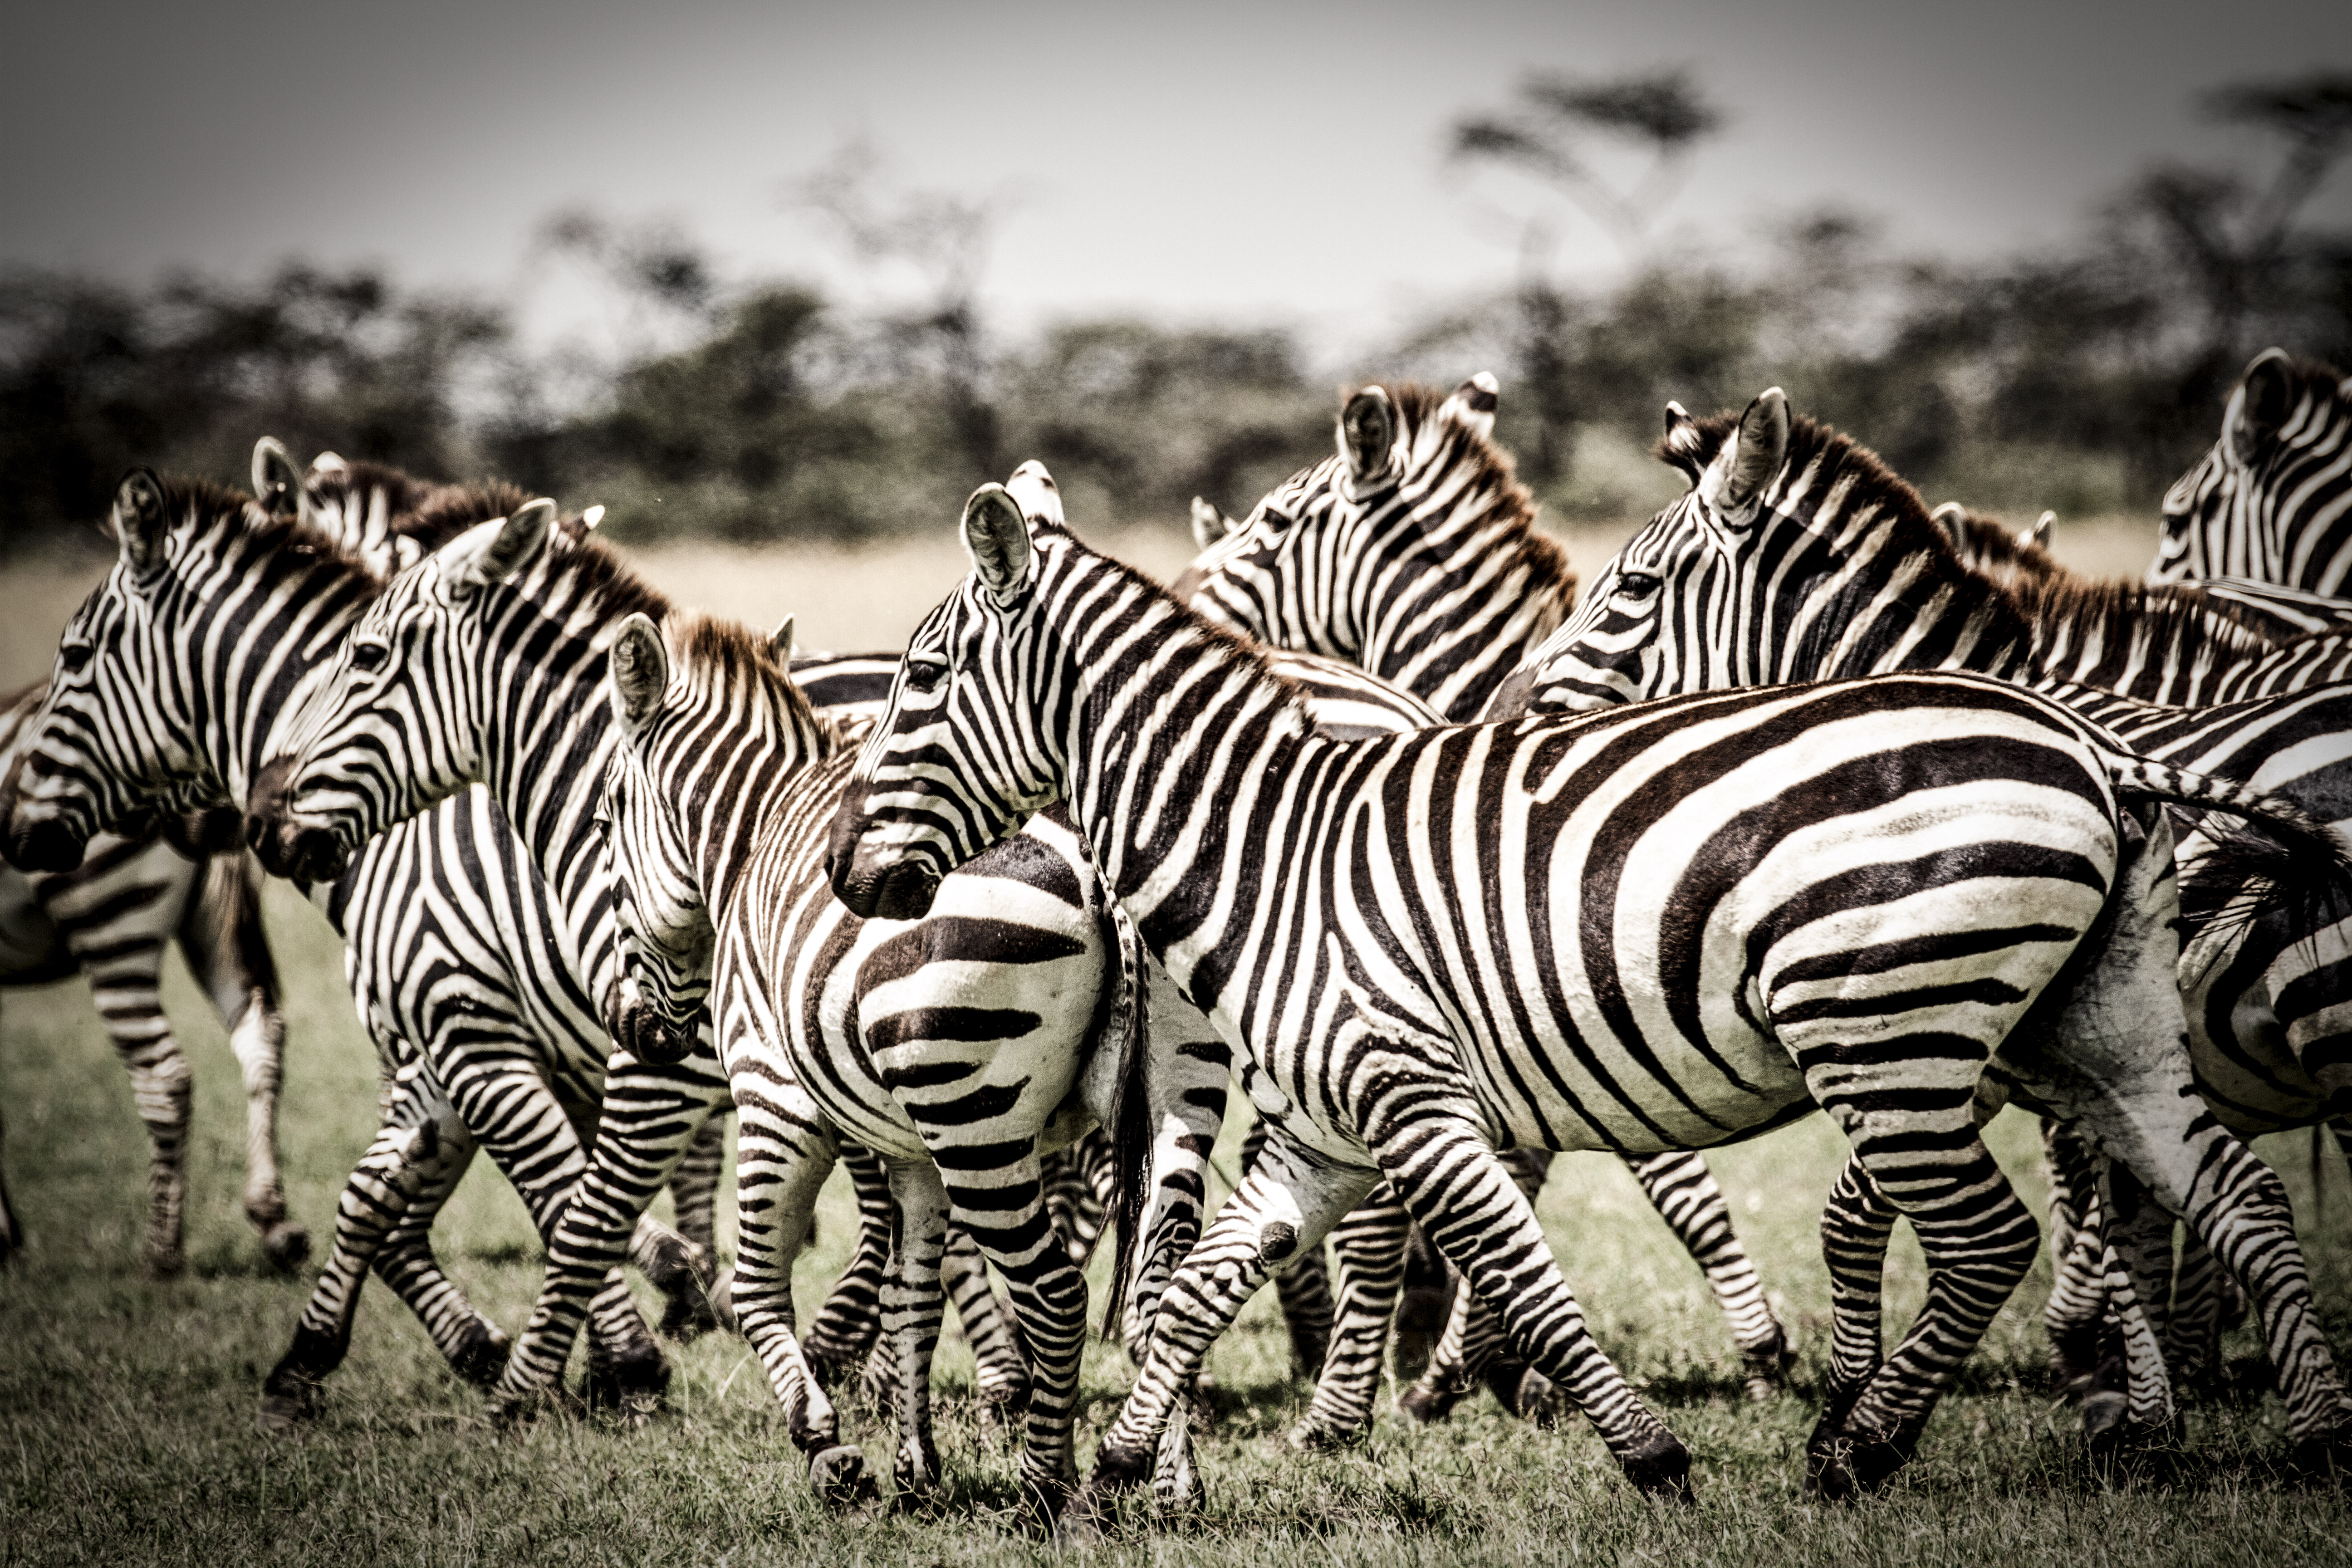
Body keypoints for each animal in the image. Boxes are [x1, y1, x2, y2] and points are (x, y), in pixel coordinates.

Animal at [0, 685, 301, 1276]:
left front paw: (4, 1237)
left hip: (109, 915)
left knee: (165, 1075)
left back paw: (162, 1252)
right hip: (208, 913)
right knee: (261, 1032)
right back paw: (274, 1221)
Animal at [1504, 389, 2352, 1417]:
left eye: (1632, 586)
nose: (1514, 713)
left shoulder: (1939, 1039)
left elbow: (1873, 1211)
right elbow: (2126, 1213)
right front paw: (2137, 1399)